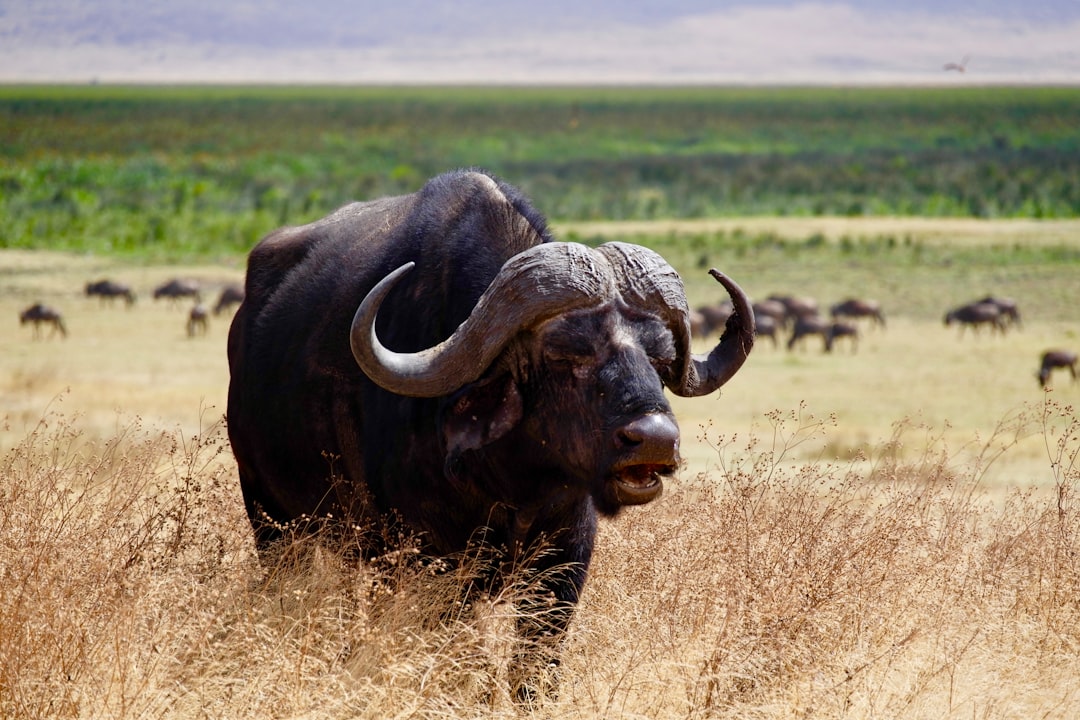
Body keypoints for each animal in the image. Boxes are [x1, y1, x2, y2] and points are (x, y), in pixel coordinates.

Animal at [226, 169, 755, 699]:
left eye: (661, 358)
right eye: (565, 354)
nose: (655, 439)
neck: (511, 481)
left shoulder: (565, 560)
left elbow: (535, 661)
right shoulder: (426, 562)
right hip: (272, 520)